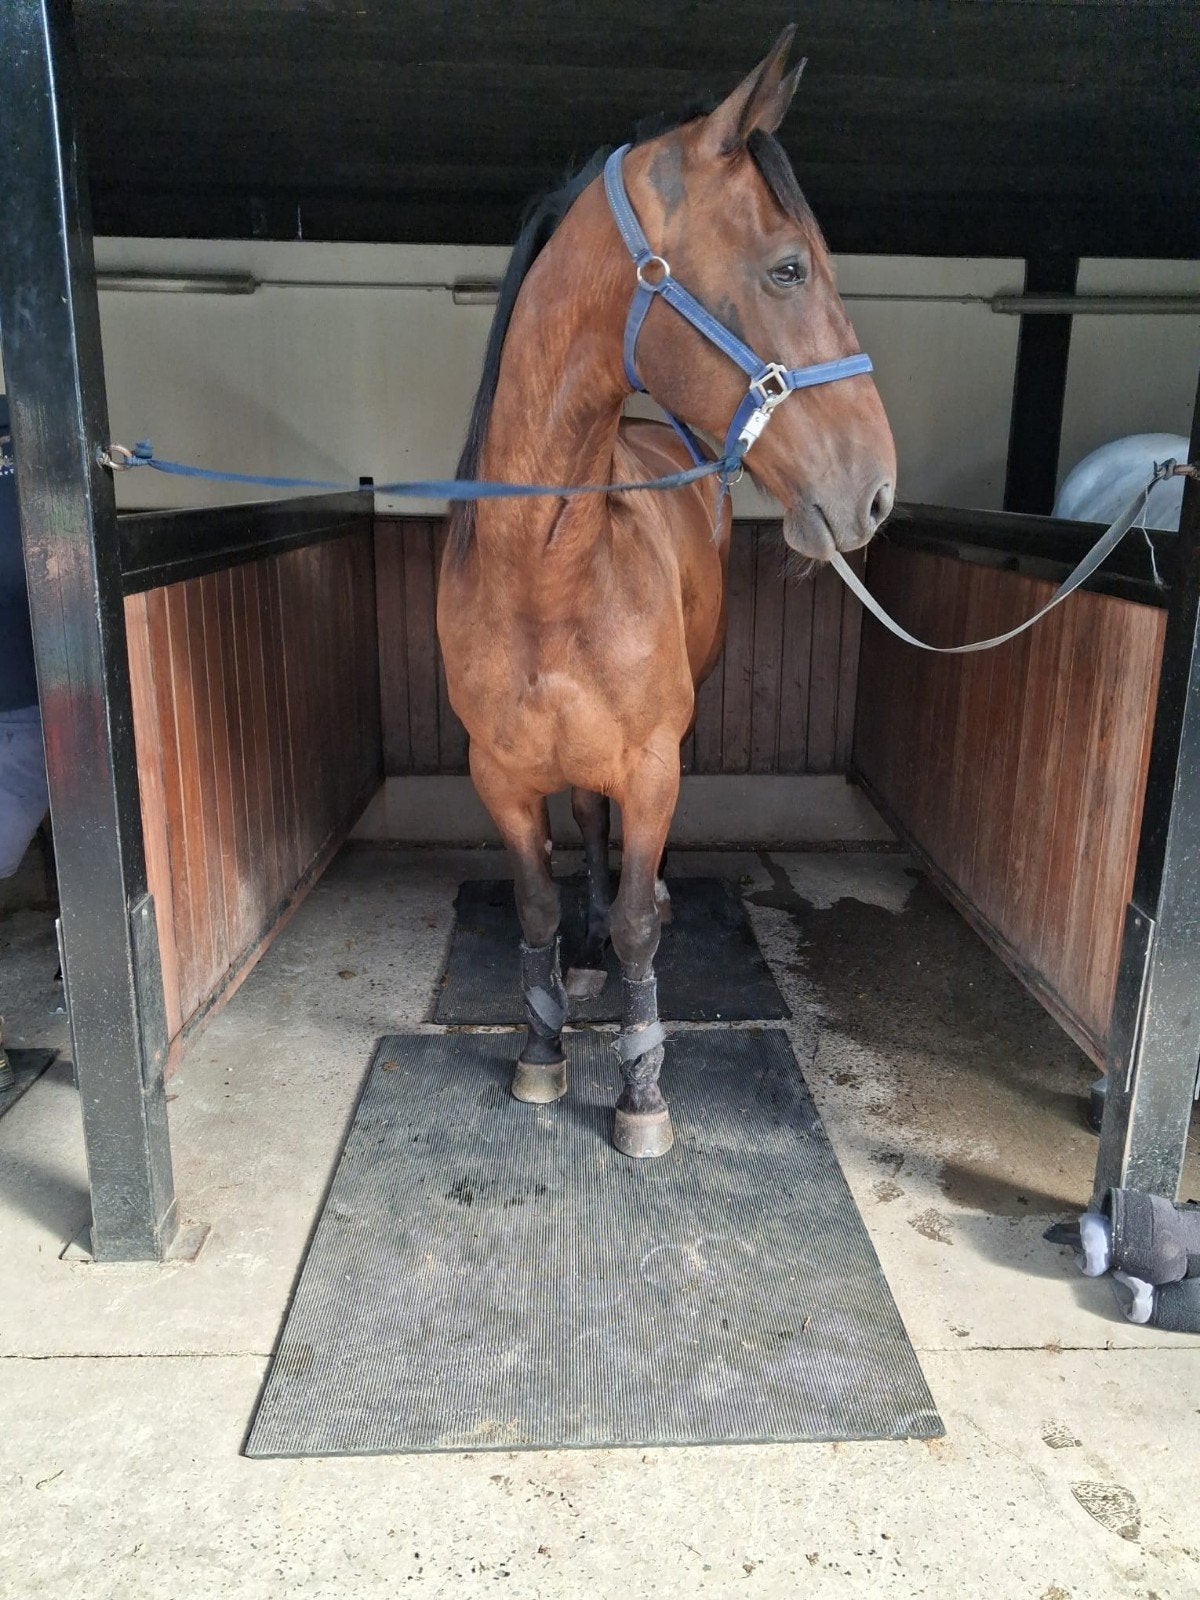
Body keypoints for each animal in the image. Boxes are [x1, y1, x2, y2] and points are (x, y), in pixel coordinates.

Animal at [437, 29, 897, 1158]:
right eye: (787, 267)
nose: (874, 490)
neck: (548, 578)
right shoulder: (501, 776)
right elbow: (536, 913)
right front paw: (542, 1048)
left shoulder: (651, 767)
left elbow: (643, 920)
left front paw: (642, 1093)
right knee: (590, 839)